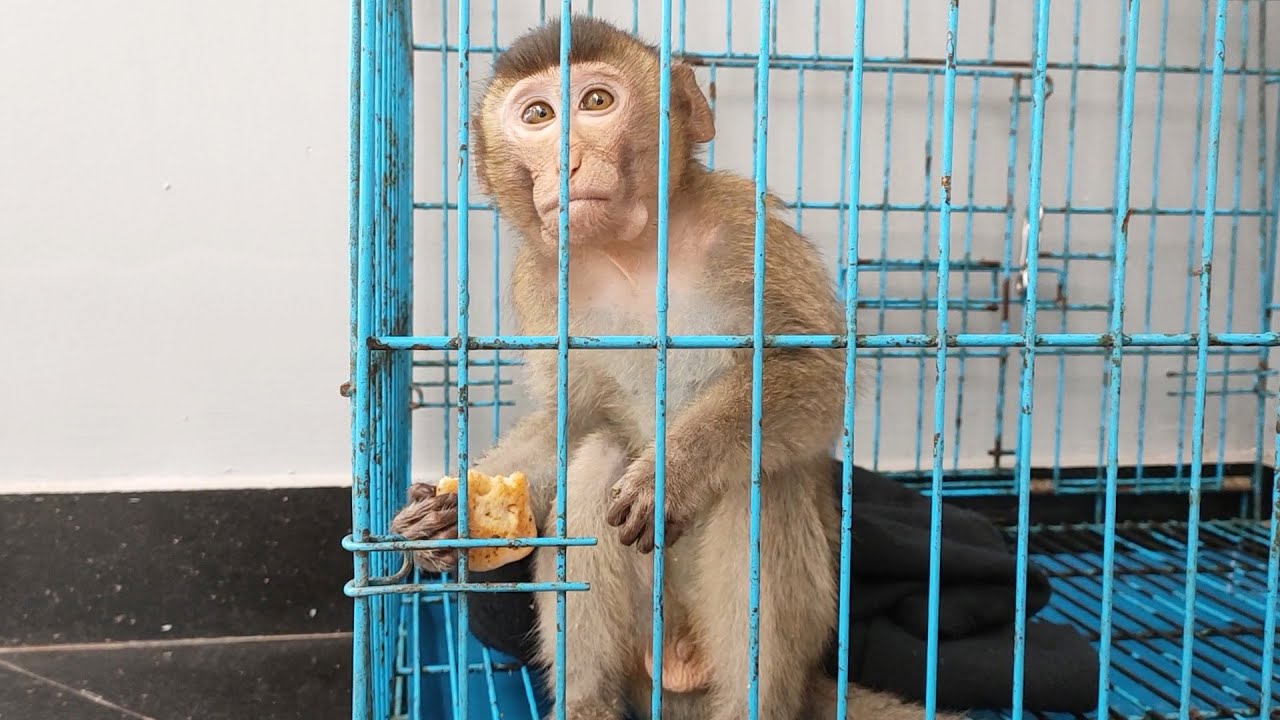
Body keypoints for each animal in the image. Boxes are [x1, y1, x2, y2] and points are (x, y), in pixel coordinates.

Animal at [392, 15, 962, 720]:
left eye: (596, 102)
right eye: (537, 115)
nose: (565, 159)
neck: (634, 253)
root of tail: (677, 668)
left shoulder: (744, 228)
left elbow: (817, 372)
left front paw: (674, 471)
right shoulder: (539, 279)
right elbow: (571, 420)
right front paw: (454, 516)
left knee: (760, 485)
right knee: (599, 456)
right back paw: (589, 701)